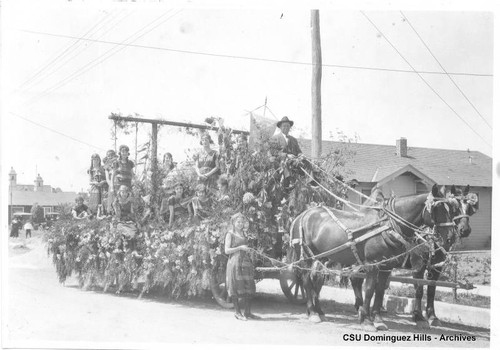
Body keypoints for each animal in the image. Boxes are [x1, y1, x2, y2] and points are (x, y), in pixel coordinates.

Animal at [290, 183, 458, 330]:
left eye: (452, 209)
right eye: (438, 208)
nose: (451, 237)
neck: (389, 225)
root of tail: (302, 215)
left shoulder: (386, 267)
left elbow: (380, 291)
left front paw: (378, 319)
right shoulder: (373, 264)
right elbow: (370, 290)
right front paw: (367, 321)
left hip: (322, 257)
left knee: (317, 280)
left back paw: (318, 311)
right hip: (306, 257)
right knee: (306, 279)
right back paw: (313, 312)